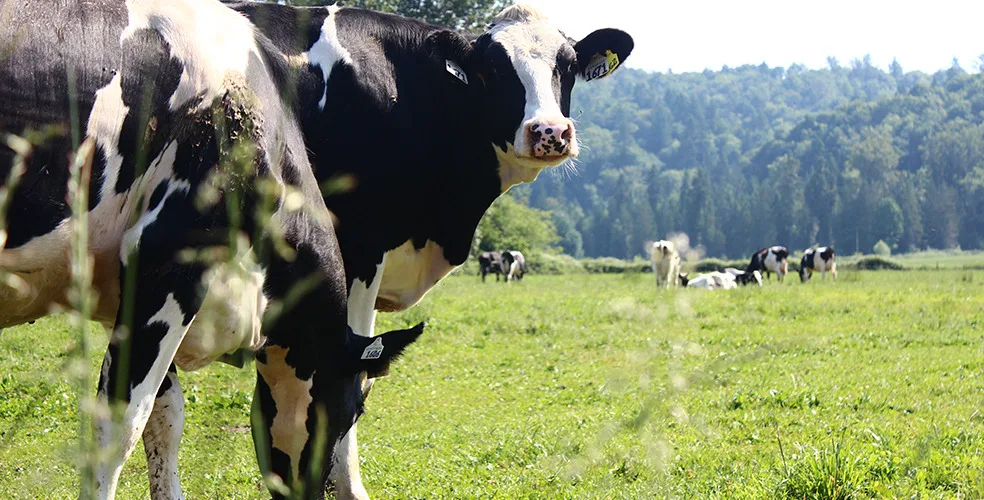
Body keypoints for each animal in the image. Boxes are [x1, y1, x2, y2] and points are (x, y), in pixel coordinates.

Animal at [0, 0, 430, 498]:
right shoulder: (168, 261)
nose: (311, 490)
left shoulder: (133, 289)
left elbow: (165, 417)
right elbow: (123, 422)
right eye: (354, 409)